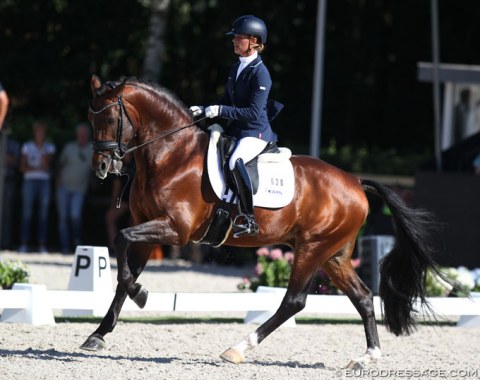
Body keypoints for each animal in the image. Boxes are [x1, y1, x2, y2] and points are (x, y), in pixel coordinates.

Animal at [81, 75, 442, 370]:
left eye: (110, 118)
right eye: (89, 117)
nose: (102, 167)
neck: (172, 155)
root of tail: (355, 181)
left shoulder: (175, 229)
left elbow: (122, 242)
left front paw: (141, 295)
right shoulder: (148, 224)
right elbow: (124, 273)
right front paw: (99, 334)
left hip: (312, 248)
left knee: (294, 300)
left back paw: (238, 349)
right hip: (334, 255)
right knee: (363, 297)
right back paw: (367, 357)